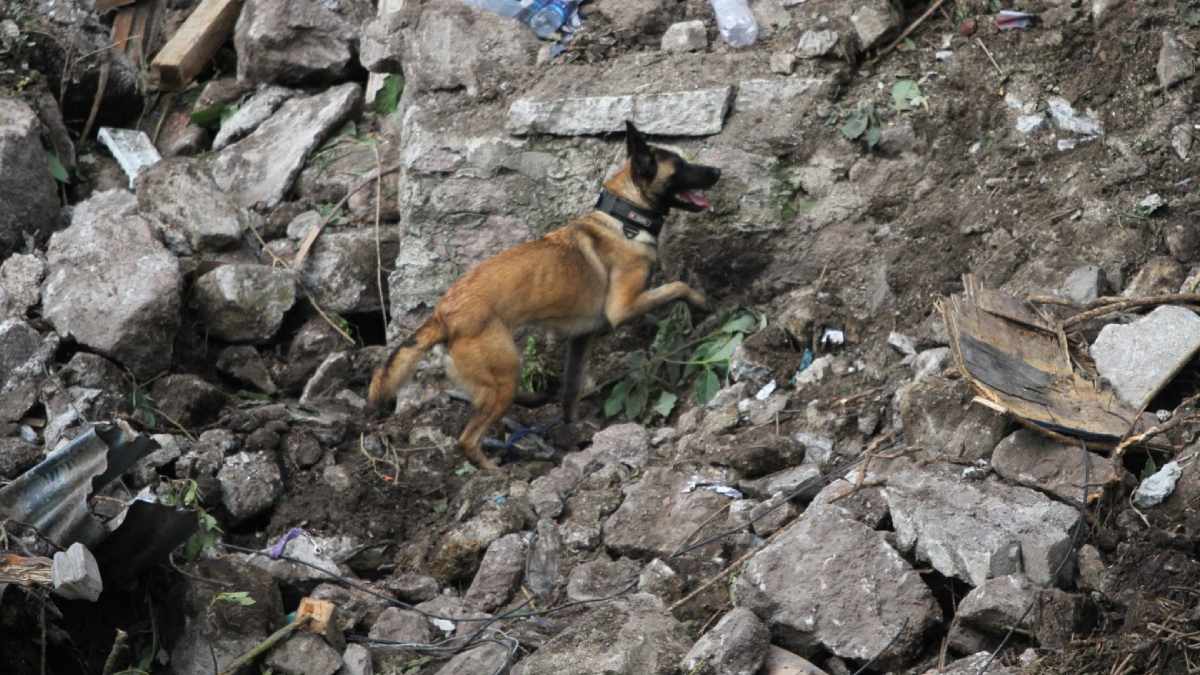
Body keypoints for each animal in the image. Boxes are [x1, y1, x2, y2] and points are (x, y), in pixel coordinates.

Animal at [364, 119, 720, 468]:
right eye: (681, 166)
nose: (717, 170)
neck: (626, 216)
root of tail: (444, 313)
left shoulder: (581, 339)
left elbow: (571, 392)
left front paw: (571, 434)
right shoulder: (624, 307)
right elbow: (677, 286)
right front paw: (703, 301)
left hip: (497, 374)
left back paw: (531, 406)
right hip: (504, 369)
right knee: (467, 439)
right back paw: (495, 470)